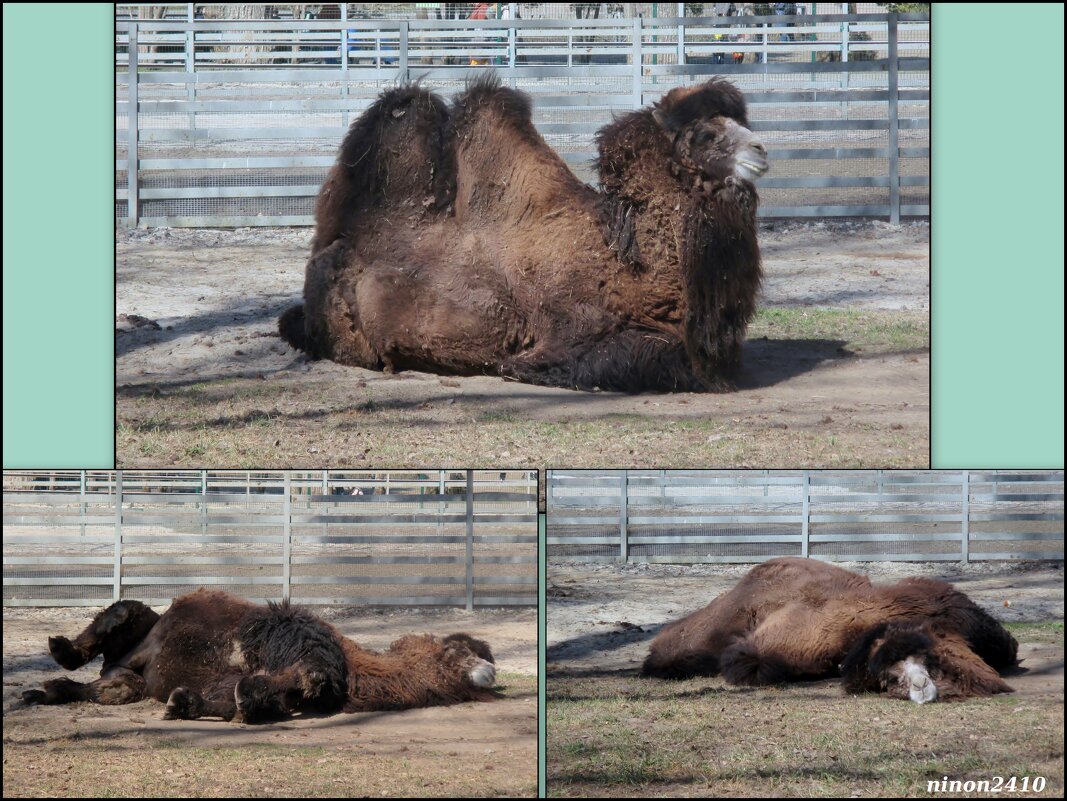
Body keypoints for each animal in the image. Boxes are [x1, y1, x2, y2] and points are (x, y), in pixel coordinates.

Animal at [20, 588, 495, 725]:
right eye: (457, 651)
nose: (490, 670)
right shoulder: (292, 637)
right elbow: (305, 673)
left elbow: (231, 697)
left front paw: (183, 703)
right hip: (143, 627)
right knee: (119, 612)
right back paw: (58, 651)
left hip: (125, 674)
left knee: (115, 684)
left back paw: (43, 692)